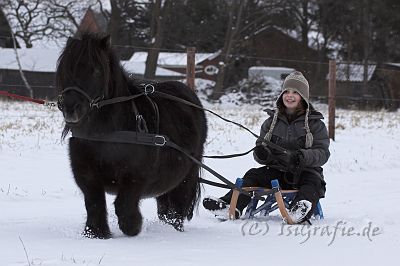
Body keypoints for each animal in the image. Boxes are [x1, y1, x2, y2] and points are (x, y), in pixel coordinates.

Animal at [55, 32, 208, 238]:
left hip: (187, 174)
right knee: (165, 207)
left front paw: (132, 227)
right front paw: (97, 233)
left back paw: (173, 229)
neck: (106, 132)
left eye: (96, 71)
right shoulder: (86, 173)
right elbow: (94, 203)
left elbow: (124, 205)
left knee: (178, 206)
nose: (70, 108)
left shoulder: (135, 175)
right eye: (66, 69)